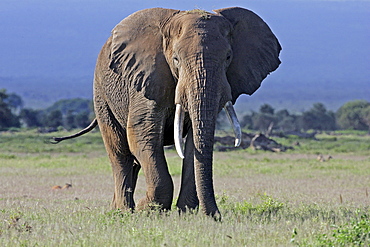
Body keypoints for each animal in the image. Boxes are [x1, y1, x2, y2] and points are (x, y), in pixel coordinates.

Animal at [54, 6, 280, 219]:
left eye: (228, 57)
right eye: (176, 59)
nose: (216, 216)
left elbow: (195, 143)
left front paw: (185, 212)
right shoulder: (148, 78)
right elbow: (142, 135)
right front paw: (148, 209)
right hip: (102, 94)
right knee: (119, 151)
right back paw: (123, 211)